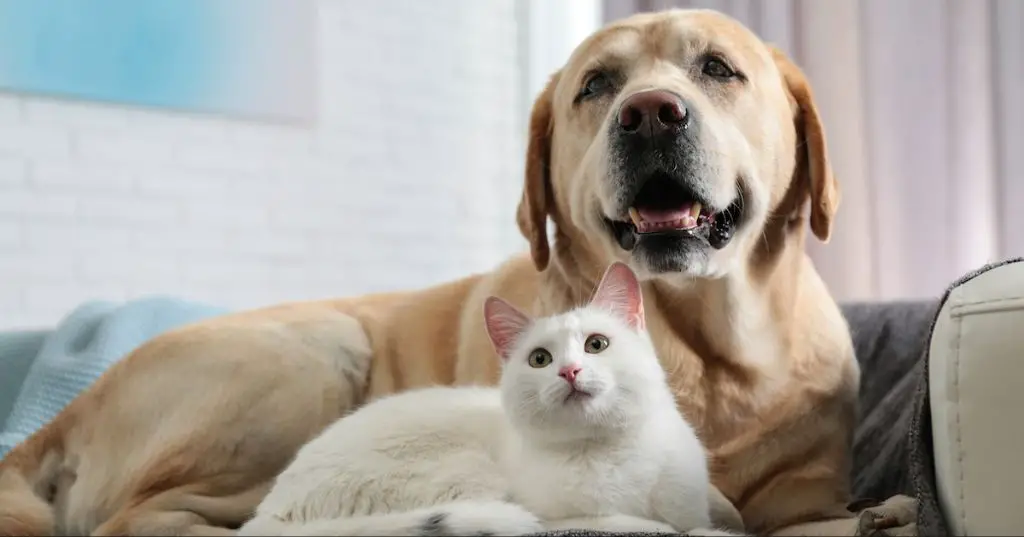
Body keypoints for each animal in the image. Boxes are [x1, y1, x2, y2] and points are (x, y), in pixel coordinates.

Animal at [235, 262, 741, 537]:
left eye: (597, 344)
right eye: (539, 359)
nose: (569, 371)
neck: (609, 449)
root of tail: (271, 510)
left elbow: (697, 518)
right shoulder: (552, 513)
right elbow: (623, 522)